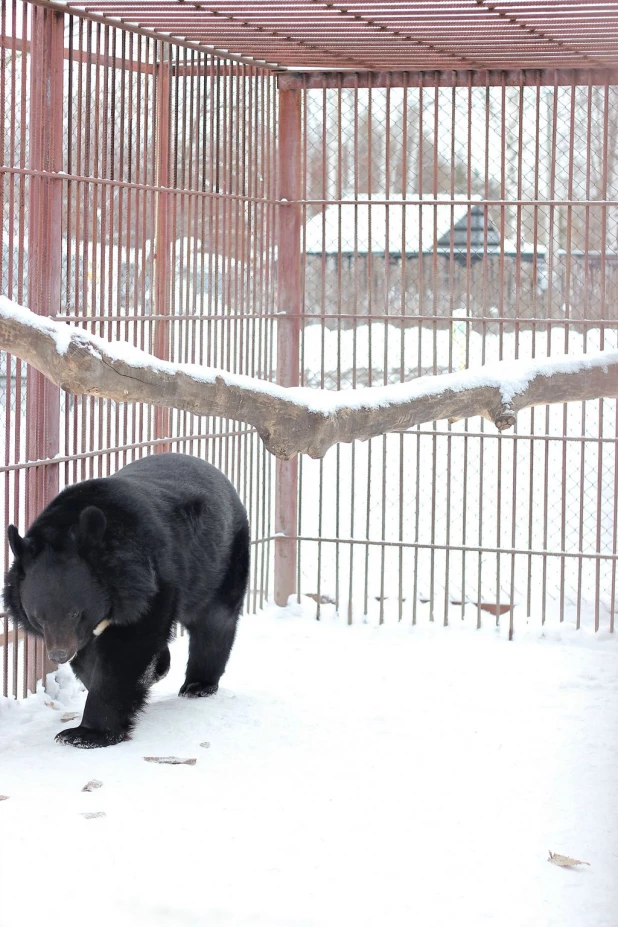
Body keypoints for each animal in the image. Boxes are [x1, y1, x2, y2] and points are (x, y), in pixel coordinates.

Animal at [3, 454, 248, 752]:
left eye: (75, 613)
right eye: (38, 617)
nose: (58, 655)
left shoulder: (152, 584)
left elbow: (127, 653)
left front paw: (84, 734)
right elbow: (89, 660)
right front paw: (156, 668)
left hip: (222, 560)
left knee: (215, 622)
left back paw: (198, 685)